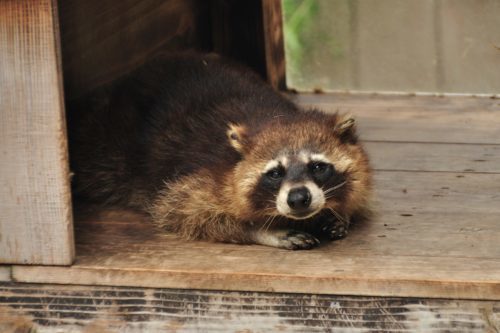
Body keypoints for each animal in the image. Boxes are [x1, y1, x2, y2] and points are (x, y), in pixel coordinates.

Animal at [67, 52, 372, 249]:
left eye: (318, 167)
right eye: (275, 173)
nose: (298, 198)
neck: (274, 117)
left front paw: (340, 212)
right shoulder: (196, 182)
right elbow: (184, 213)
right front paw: (263, 230)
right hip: (103, 141)